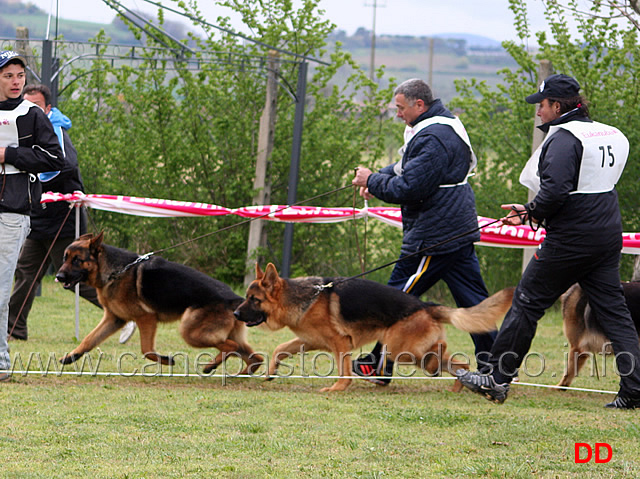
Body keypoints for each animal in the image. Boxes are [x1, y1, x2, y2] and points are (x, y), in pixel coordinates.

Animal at [55, 233, 262, 376]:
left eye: (77, 260)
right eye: (65, 258)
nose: (58, 276)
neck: (115, 272)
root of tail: (234, 298)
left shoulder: (146, 318)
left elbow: (146, 350)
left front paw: (165, 360)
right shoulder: (114, 319)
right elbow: (89, 340)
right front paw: (71, 357)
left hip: (191, 332)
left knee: (231, 346)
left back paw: (212, 365)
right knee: (254, 357)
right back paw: (243, 375)